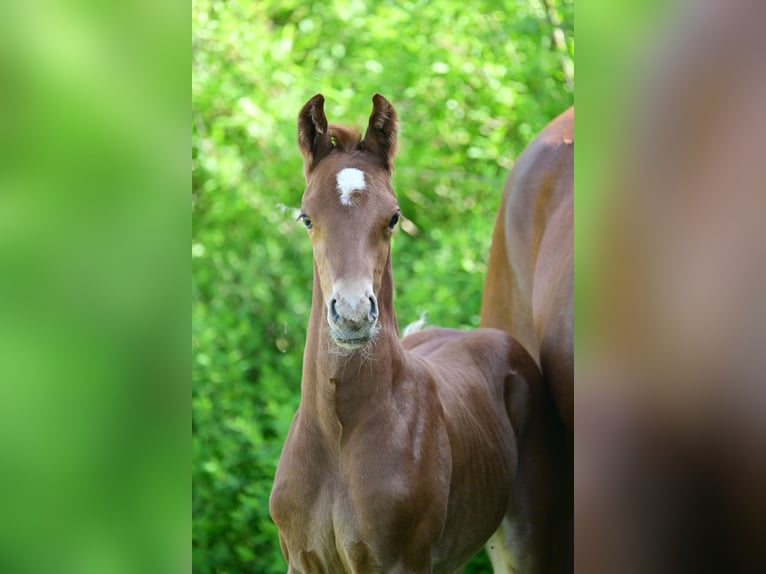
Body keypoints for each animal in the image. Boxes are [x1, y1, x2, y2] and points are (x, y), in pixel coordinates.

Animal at [272, 95, 560, 574]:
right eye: (306, 217)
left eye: (393, 217)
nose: (353, 314)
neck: (337, 435)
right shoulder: (302, 560)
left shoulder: (402, 561)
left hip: (527, 540)